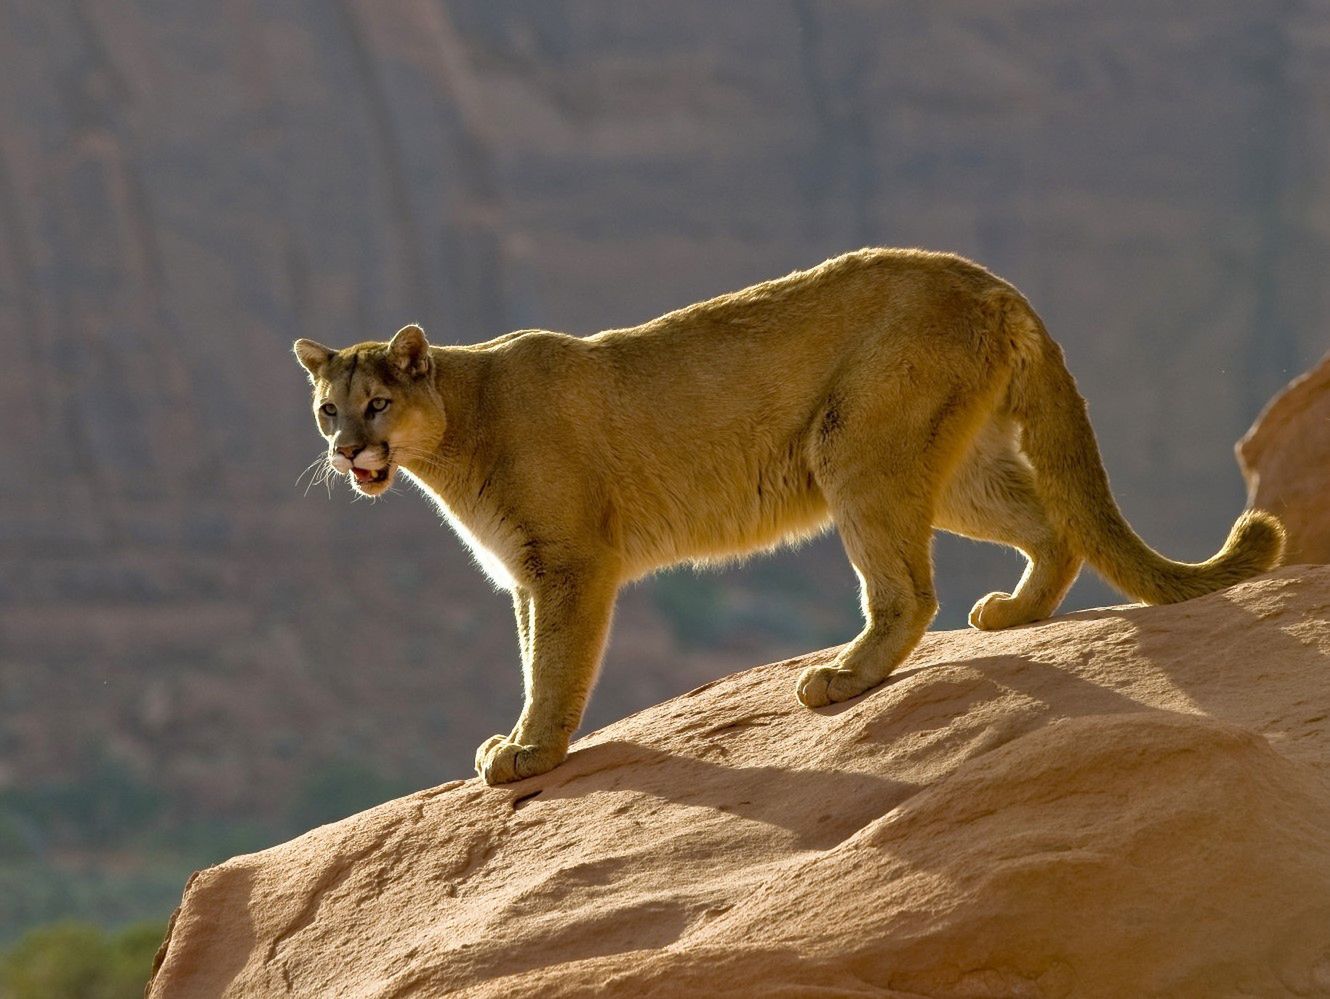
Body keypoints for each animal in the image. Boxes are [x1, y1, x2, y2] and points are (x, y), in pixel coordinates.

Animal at [296, 246, 1282, 787]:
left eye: (377, 403)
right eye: (326, 409)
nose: (347, 451)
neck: (456, 435)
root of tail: (990, 280)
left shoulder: (568, 563)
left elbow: (556, 666)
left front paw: (529, 751)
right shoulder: (528, 576)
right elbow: (537, 653)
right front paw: (519, 742)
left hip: (857, 444)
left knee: (908, 588)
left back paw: (842, 678)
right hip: (950, 465)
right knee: (1049, 524)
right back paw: (1013, 612)